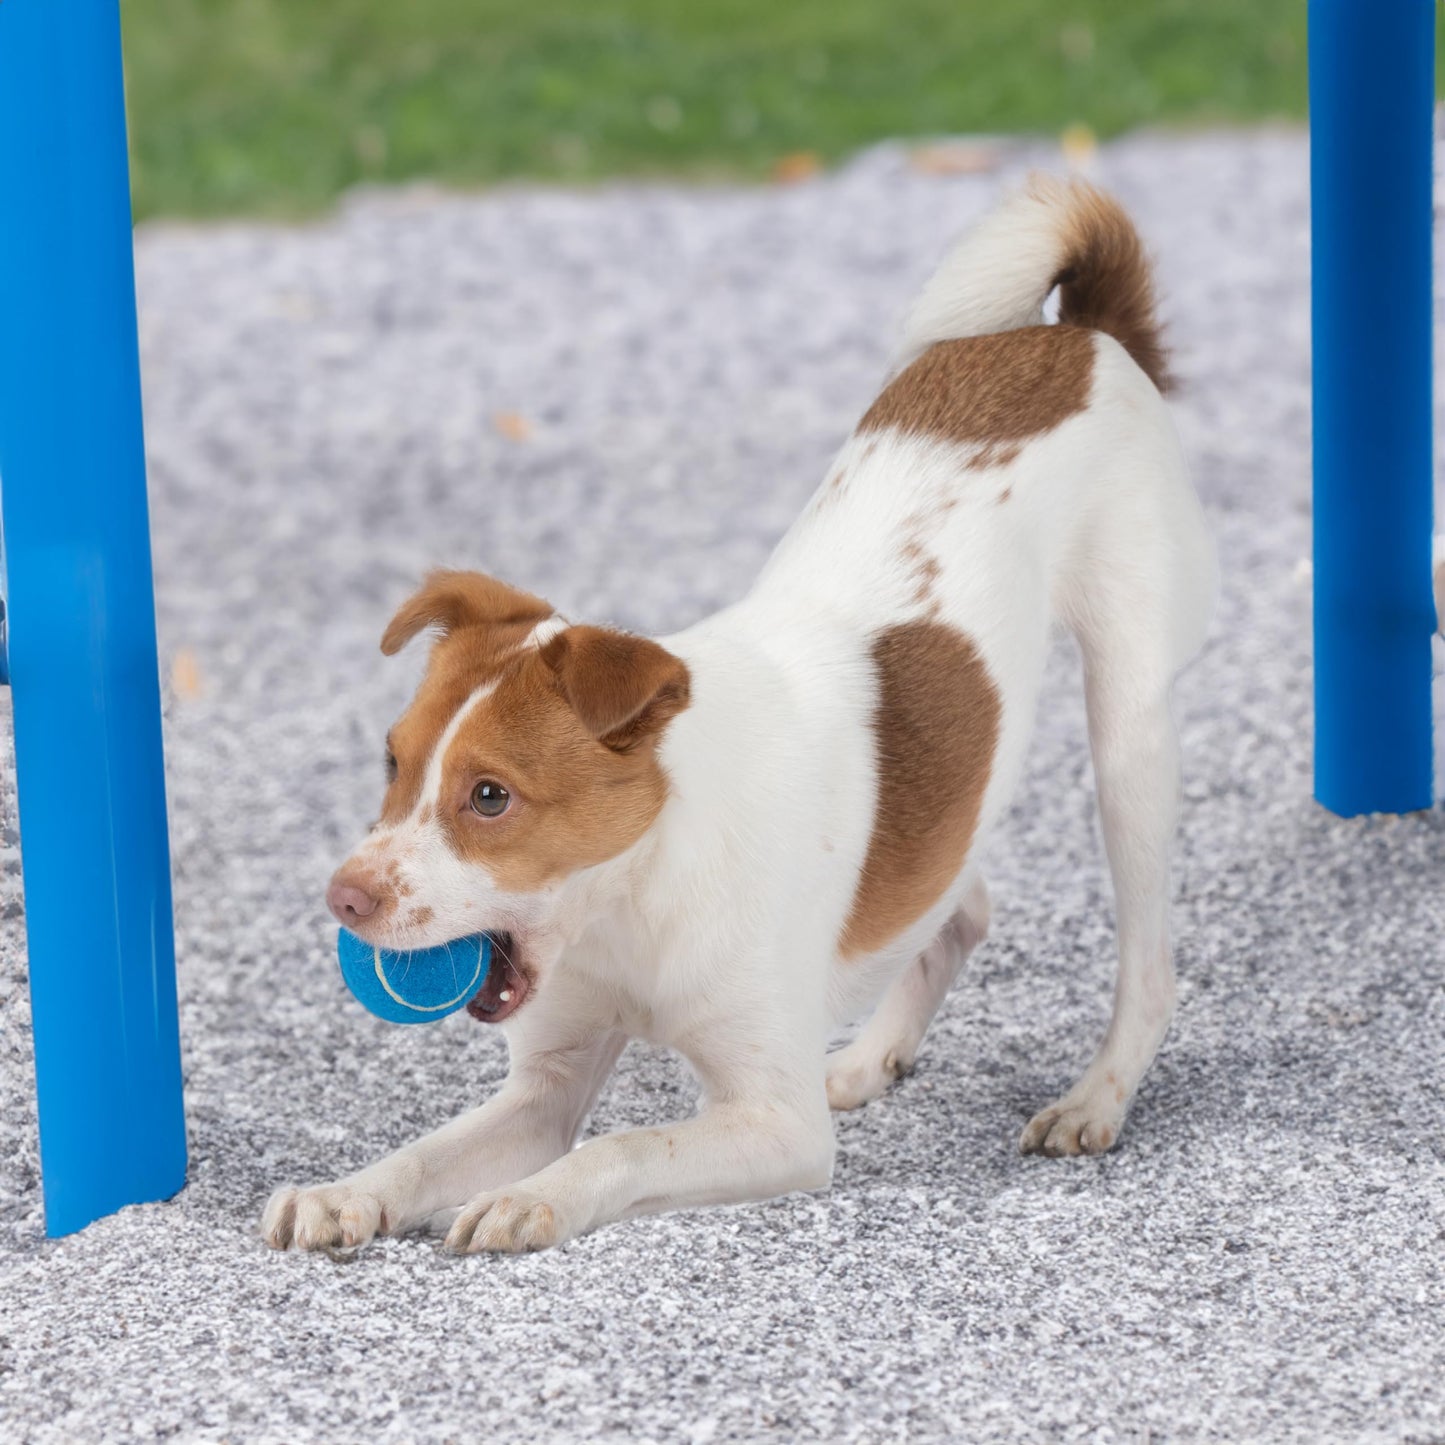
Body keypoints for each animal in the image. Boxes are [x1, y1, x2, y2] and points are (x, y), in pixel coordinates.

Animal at [262, 171, 1219, 1254]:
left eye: (491, 795)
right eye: (392, 763)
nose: (343, 897)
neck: (637, 891)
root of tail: (1078, 334)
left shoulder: (774, 1120)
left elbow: (624, 1144)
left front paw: (526, 1198)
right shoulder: (544, 1086)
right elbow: (427, 1152)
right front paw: (344, 1192)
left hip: (1128, 728)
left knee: (1145, 963)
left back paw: (1095, 1096)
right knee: (956, 899)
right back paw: (871, 1054)